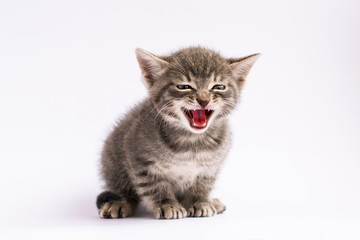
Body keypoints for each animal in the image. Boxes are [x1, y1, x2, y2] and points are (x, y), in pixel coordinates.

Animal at [95, 47, 258, 219]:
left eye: (218, 87)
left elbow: (203, 184)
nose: (204, 100)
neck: (192, 140)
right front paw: (167, 205)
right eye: (184, 86)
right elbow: (155, 185)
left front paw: (199, 202)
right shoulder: (141, 160)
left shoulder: (210, 167)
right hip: (112, 160)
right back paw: (119, 203)